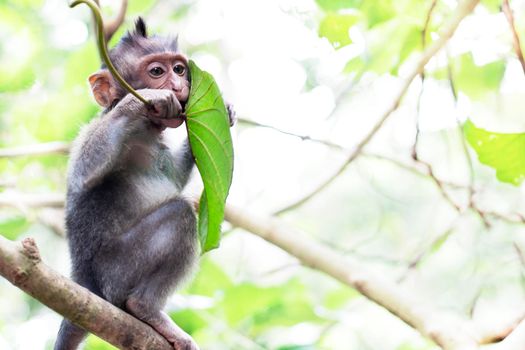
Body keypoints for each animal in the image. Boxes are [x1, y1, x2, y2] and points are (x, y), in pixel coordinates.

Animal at [54, 17, 232, 348]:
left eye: (180, 69)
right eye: (157, 72)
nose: (179, 85)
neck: (146, 131)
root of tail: (83, 280)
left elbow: (174, 177)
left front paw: (224, 111)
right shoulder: (101, 127)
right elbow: (85, 173)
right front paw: (147, 99)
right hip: (116, 272)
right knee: (180, 214)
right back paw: (146, 308)